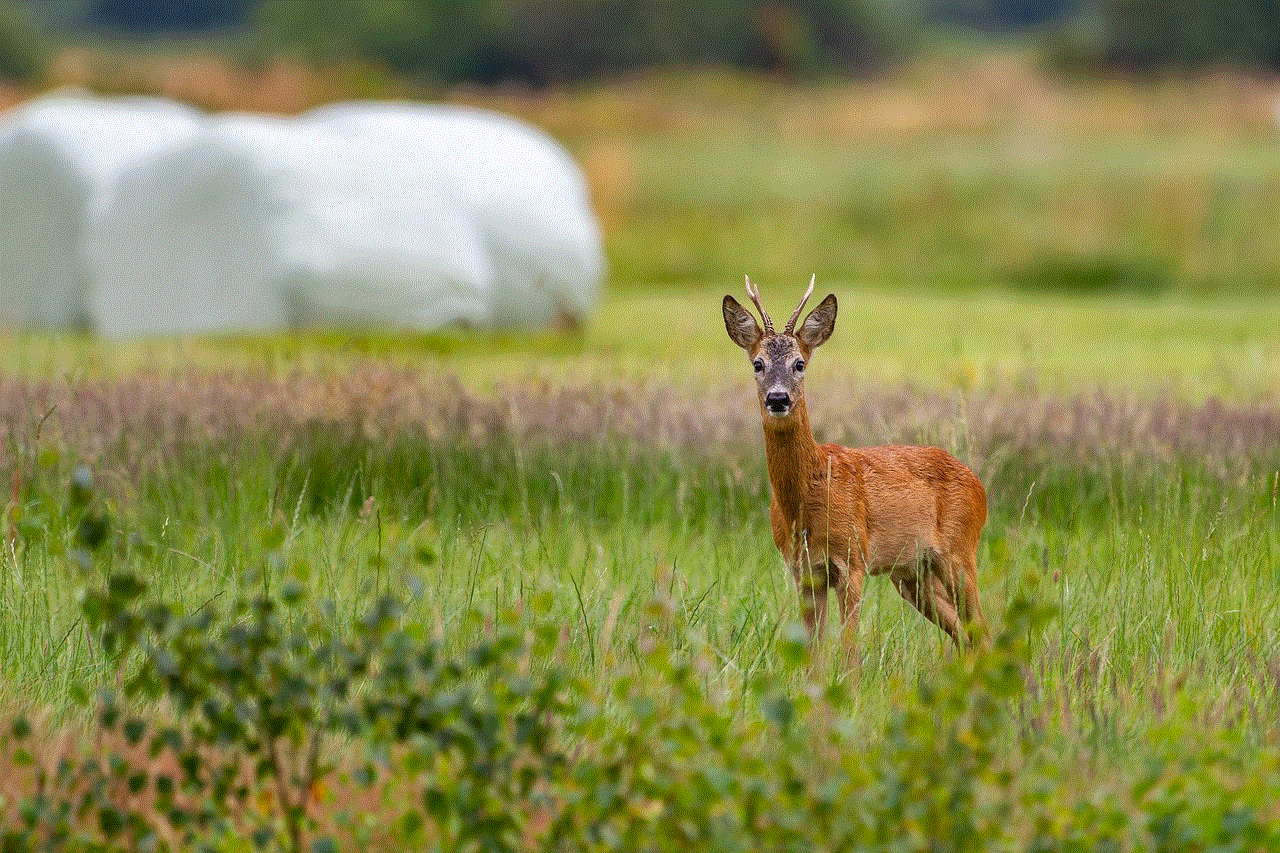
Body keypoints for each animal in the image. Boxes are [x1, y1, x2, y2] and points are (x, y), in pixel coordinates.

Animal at [721, 275, 988, 660]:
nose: (778, 398)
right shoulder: (804, 570)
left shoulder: (853, 559)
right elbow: (813, 652)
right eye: (757, 364)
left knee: (981, 628)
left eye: (799, 364)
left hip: (960, 551)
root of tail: (979, 485)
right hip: (912, 573)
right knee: (964, 633)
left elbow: (848, 648)